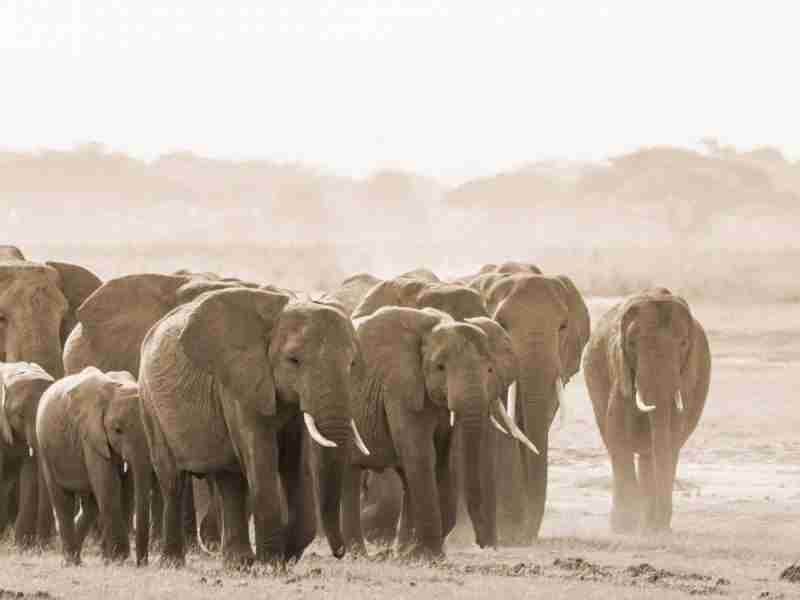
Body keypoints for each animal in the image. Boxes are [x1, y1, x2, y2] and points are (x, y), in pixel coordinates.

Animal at [36, 366, 152, 568]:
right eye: (117, 430)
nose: (141, 563)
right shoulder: (91, 435)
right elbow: (109, 488)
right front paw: (119, 559)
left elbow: (127, 490)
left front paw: (110, 560)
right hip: (46, 450)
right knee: (63, 501)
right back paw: (70, 561)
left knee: (90, 506)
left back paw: (75, 557)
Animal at [139, 286, 364, 568]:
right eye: (293, 360)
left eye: (352, 364)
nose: (340, 552)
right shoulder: (239, 382)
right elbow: (260, 454)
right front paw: (271, 564)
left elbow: (296, 462)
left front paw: (284, 555)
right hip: (149, 402)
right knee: (172, 479)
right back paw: (173, 563)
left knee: (229, 479)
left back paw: (238, 562)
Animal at [580, 288, 712, 532]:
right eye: (632, 344)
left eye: (683, 343)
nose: (662, 525)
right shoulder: (620, 370)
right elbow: (617, 433)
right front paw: (626, 528)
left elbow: (672, 435)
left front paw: (654, 531)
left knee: (652, 453)